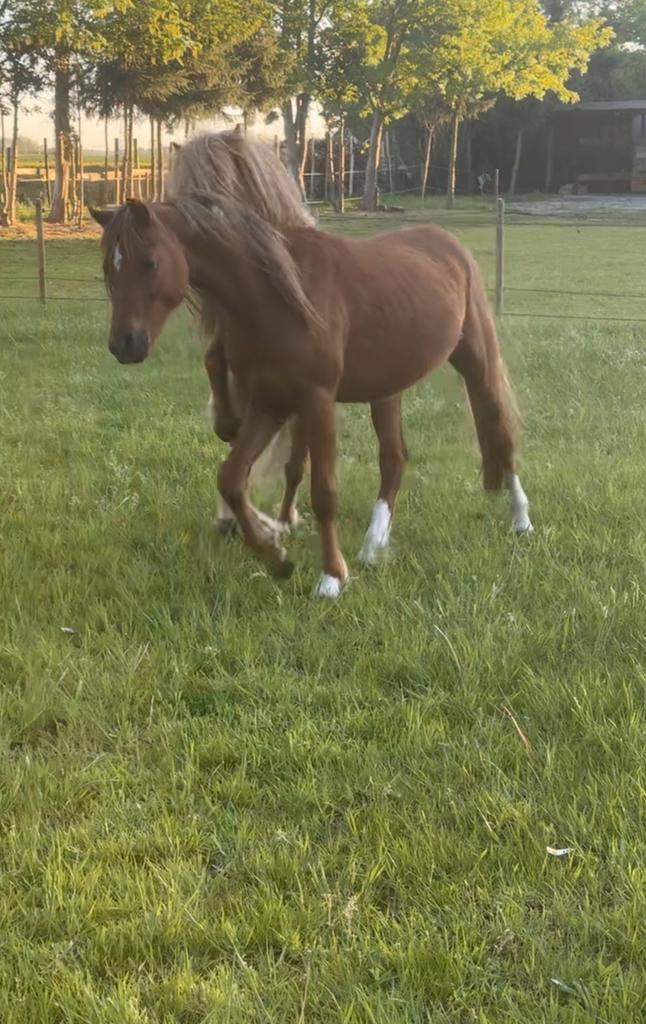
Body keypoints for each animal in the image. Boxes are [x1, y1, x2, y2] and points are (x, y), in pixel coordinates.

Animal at [90, 196, 532, 598]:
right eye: (108, 268)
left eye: (148, 262)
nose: (124, 344)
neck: (278, 295)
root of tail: (449, 243)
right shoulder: (269, 403)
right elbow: (231, 478)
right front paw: (275, 554)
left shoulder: (316, 402)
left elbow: (324, 492)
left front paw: (331, 577)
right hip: (386, 389)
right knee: (394, 460)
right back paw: (373, 545)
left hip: (476, 362)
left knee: (497, 429)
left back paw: (520, 519)